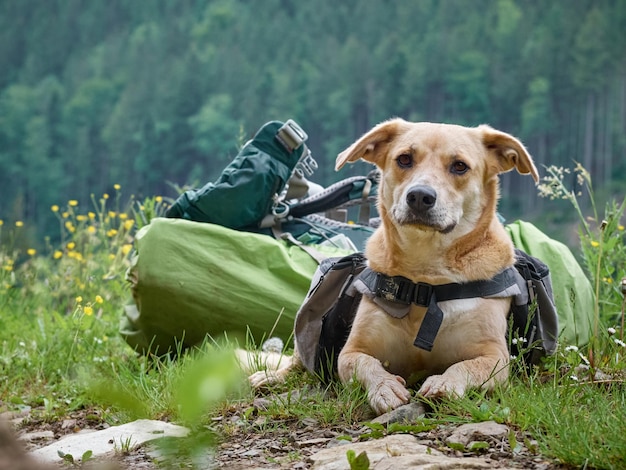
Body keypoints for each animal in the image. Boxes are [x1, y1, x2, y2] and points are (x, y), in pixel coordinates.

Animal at [249, 118, 536, 414]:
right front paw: (384, 388)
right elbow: (365, 363)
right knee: (298, 362)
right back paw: (270, 377)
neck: (426, 279)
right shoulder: (352, 350)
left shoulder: (495, 357)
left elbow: (467, 366)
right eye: (404, 159)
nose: (419, 196)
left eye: (460, 166)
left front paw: (444, 383)